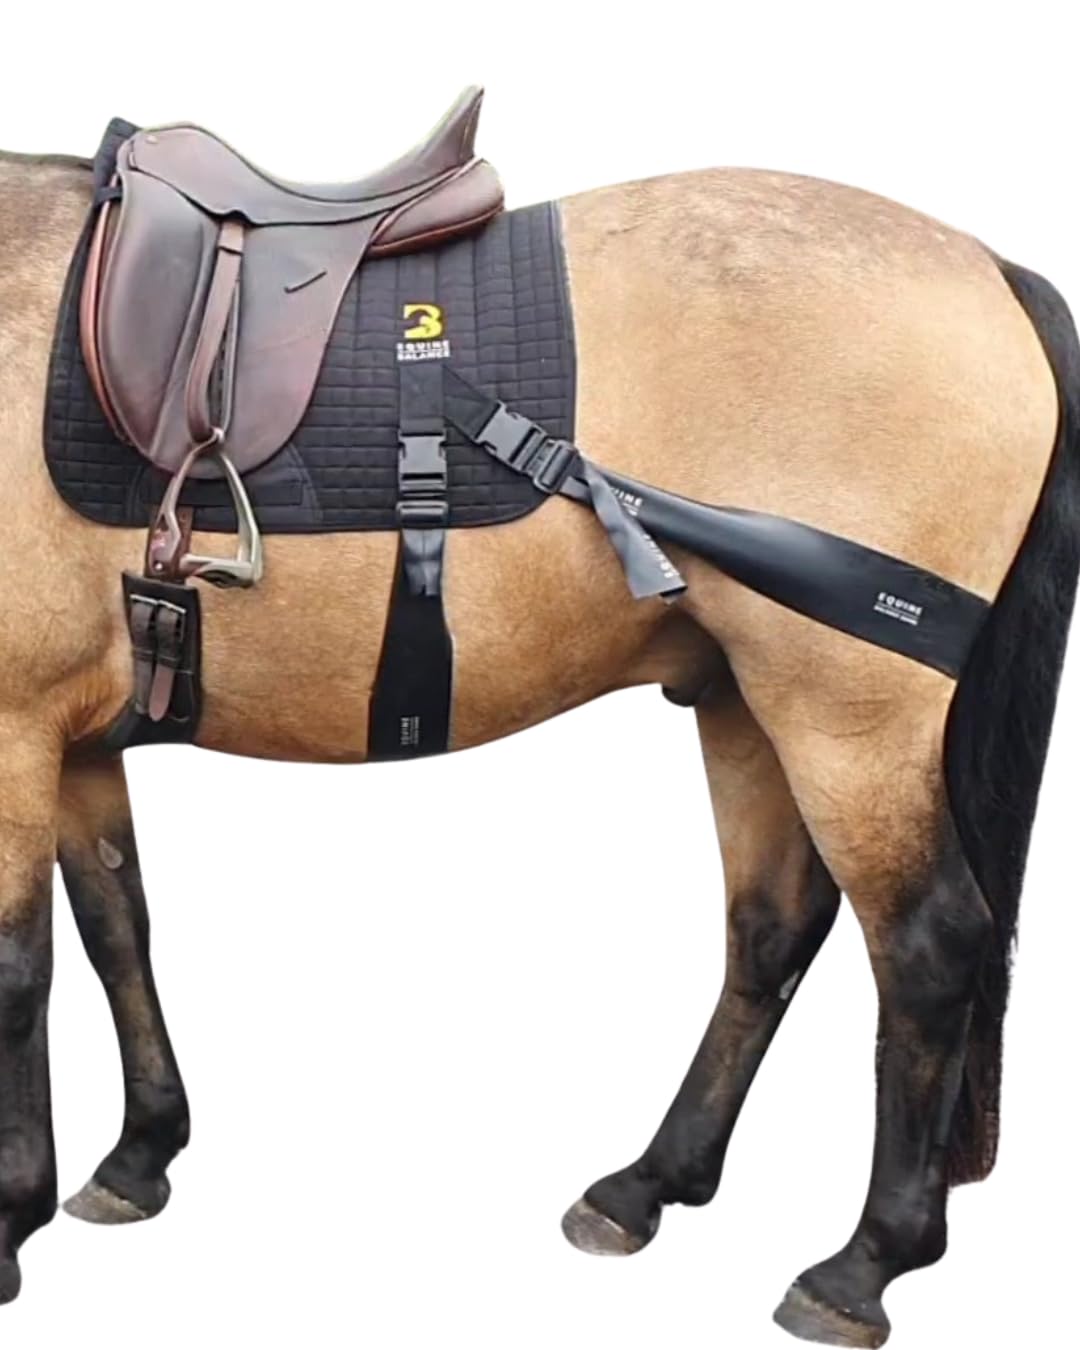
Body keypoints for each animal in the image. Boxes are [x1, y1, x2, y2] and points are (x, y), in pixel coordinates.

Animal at [0, 108, 1077, 1350]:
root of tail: (989, 267)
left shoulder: (14, 731)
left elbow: (20, 968)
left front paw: (11, 1222)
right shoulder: (74, 741)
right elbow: (115, 928)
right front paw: (140, 1155)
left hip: (848, 718)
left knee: (930, 946)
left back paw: (863, 1265)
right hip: (747, 703)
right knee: (770, 931)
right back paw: (649, 1185)